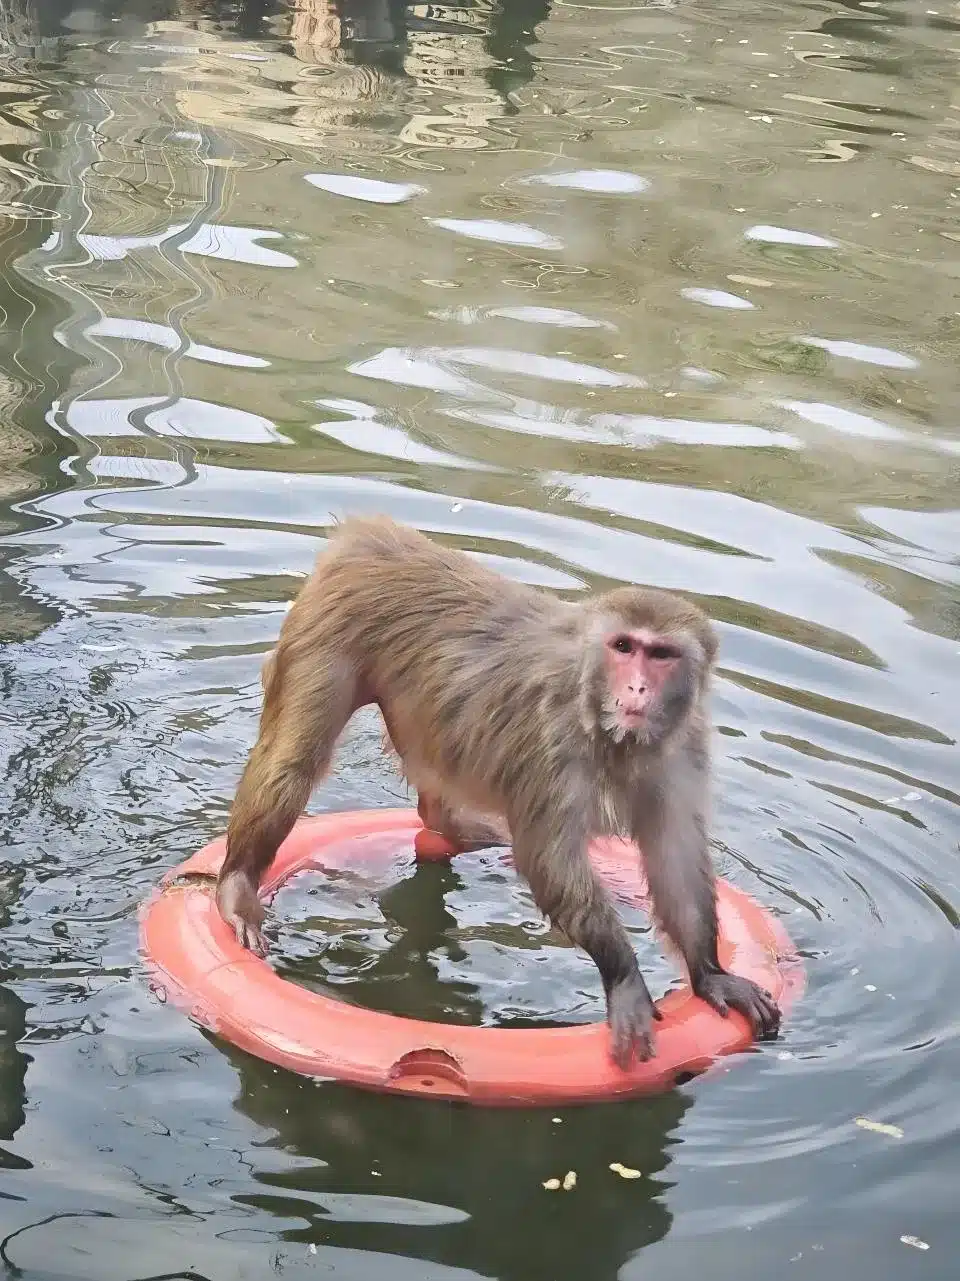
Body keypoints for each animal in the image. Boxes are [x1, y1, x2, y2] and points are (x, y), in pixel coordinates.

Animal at [215, 515, 780, 1067]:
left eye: (661, 655)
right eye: (624, 647)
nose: (638, 688)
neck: (605, 725)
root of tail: (373, 536)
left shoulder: (684, 750)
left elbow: (674, 856)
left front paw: (710, 974)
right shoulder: (553, 742)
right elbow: (550, 860)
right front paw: (624, 977)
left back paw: (455, 827)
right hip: (327, 631)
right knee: (293, 763)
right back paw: (238, 885)